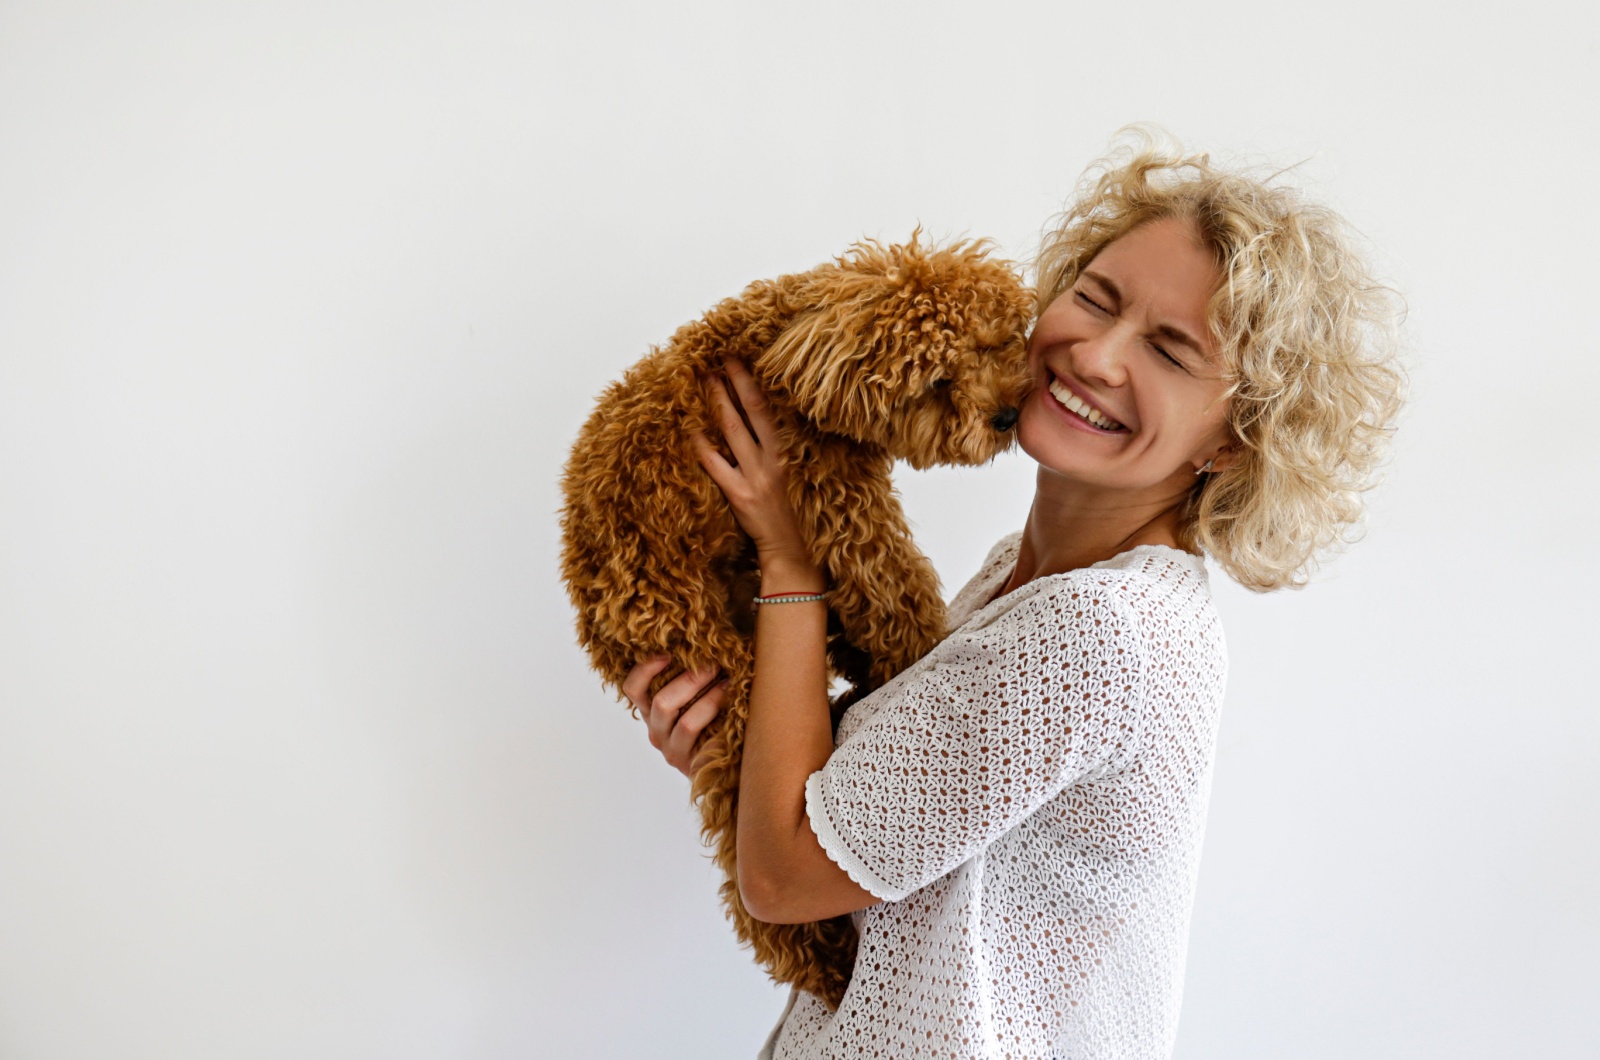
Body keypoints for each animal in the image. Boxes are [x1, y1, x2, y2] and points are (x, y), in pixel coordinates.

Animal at [563, 236, 1030, 1011]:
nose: (1007, 416)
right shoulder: (836, 492)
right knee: (741, 842)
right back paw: (826, 965)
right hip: (715, 665)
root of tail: (585, 591)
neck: (795, 343)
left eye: (996, 345)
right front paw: (923, 653)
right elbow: (893, 589)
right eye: (936, 382)